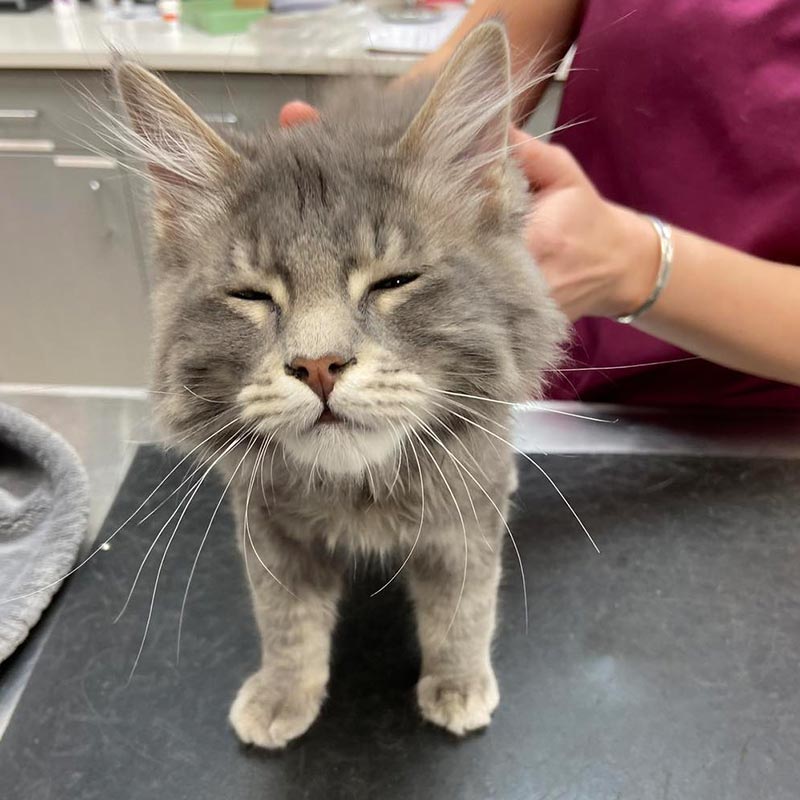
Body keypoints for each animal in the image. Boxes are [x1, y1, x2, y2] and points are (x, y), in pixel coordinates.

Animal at [112, 23, 564, 752]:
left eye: (392, 282)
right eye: (252, 296)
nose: (319, 364)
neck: (359, 491)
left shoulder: (465, 514)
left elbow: (463, 608)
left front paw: (458, 683)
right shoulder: (265, 527)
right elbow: (285, 622)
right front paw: (282, 692)